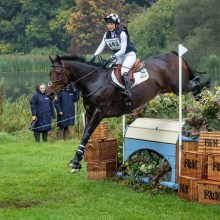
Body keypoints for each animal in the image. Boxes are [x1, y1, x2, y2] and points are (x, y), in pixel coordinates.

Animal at [47, 52, 205, 174]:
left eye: (58, 73)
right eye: (50, 73)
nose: (49, 94)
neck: (94, 81)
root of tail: (173, 55)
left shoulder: (99, 113)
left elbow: (87, 134)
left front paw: (75, 162)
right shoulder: (89, 113)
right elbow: (85, 135)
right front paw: (76, 161)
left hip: (179, 87)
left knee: (196, 83)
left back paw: (203, 102)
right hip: (167, 89)